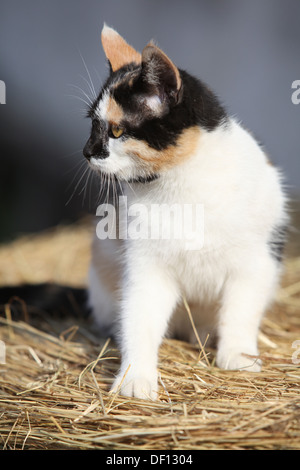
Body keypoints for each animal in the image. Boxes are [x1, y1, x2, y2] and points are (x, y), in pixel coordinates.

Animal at [82, 24, 288, 400]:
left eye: (116, 130)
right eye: (91, 125)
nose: (86, 151)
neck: (182, 183)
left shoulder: (257, 263)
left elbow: (241, 311)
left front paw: (238, 355)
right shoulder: (146, 267)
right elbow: (140, 317)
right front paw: (136, 376)